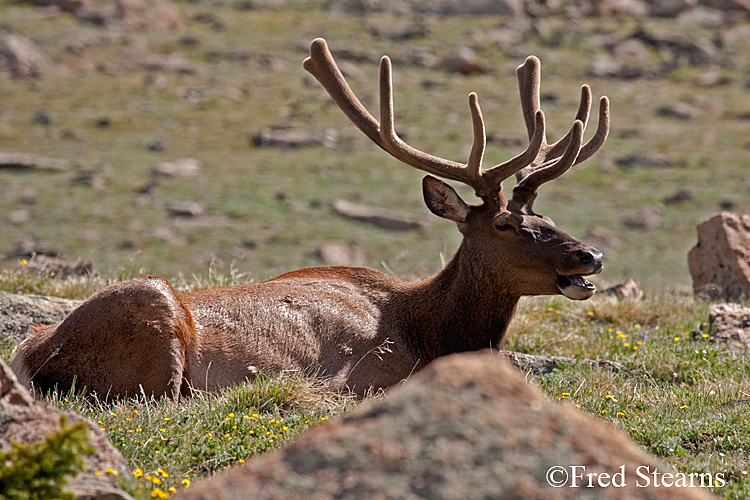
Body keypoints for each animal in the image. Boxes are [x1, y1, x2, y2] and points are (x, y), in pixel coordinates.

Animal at [10, 38, 612, 398]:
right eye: (506, 226)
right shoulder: (364, 377)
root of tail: (28, 356)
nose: (592, 255)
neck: (429, 332)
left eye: (545, 214)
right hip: (151, 310)